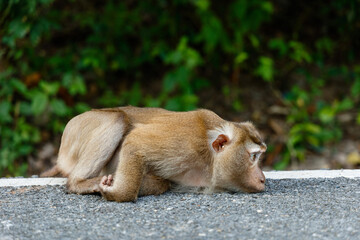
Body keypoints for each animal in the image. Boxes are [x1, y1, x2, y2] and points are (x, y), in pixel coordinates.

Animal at [43, 106, 268, 202]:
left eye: (259, 157)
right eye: (253, 157)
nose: (263, 178)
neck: (209, 159)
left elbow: (163, 182)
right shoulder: (185, 143)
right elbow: (136, 141)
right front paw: (117, 193)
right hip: (80, 129)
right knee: (118, 119)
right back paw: (80, 183)